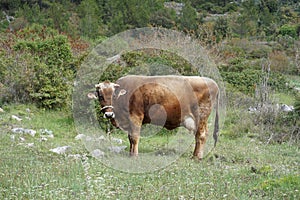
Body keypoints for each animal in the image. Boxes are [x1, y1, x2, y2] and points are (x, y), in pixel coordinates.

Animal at [88, 75, 219, 159]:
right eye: (100, 95)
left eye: (114, 95)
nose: (109, 114)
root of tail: (212, 82)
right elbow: (130, 138)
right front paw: (130, 153)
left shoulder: (136, 116)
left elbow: (134, 137)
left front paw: (134, 155)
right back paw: (195, 155)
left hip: (202, 115)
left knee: (201, 135)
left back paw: (197, 157)